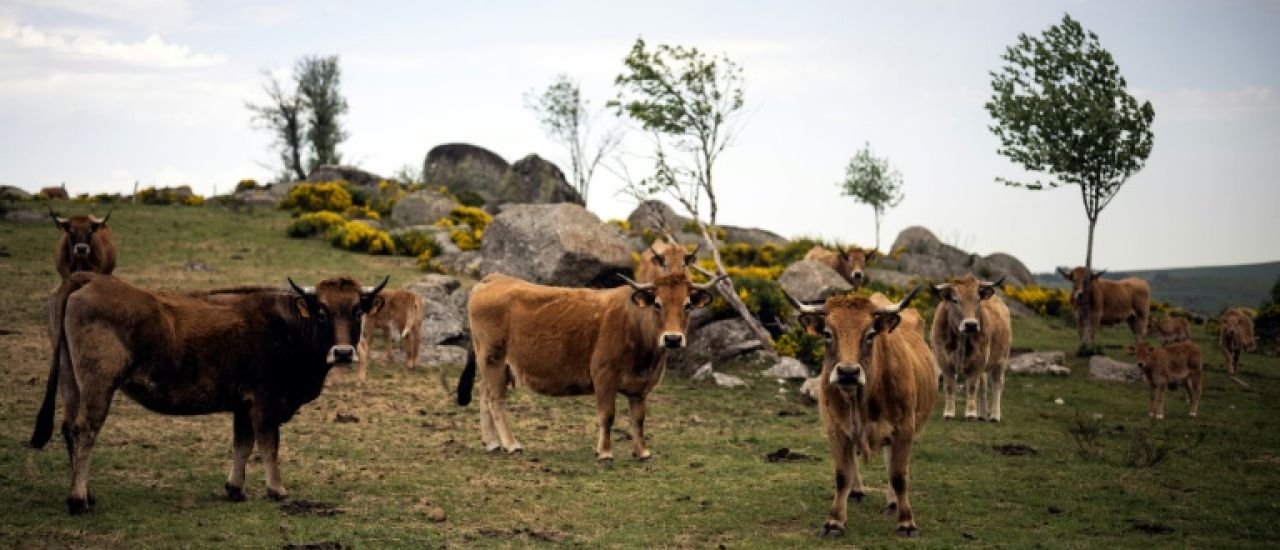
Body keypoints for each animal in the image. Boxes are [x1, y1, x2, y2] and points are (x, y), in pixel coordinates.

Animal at [29, 273, 387, 514]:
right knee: (85, 431)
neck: (288, 328)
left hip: (71, 380)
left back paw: (87, 494)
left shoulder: (243, 405)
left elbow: (243, 445)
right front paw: (277, 489)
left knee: (69, 429)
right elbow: (269, 446)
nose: (343, 352)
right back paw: (78, 501)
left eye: (358, 310)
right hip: (98, 384)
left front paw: (235, 489)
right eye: (322, 311)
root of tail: (87, 278)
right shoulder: (266, 402)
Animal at [456, 271, 722, 461]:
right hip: (493, 359)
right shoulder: (604, 376)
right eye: (657, 303)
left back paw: (491, 442)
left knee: (484, 393)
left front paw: (642, 452)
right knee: (496, 400)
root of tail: (494, 279)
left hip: (493, 366)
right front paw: (604, 452)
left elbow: (638, 419)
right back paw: (511, 444)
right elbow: (608, 415)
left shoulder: (640, 386)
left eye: (687, 305)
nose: (673, 338)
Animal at [790, 288, 937, 538]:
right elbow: (842, 475)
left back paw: (892, 502)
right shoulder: (836, 429)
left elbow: (899, 476)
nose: (848, 372)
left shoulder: (904, 430)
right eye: (827, 333)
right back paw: (856, 491)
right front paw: (834, 522)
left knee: (889, 463)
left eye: (870, 334)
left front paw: (906, 523)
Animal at [930, 275, 1012, 422]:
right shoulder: (945, 362)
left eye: (977, 299)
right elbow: (950, 387)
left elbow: (972, 387)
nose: (971, 325)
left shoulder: (978, 361)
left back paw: (994, 416)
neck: (962, 339)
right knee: (983, 386)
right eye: (955, 300)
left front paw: (970, 414)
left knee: (997, 385)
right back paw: (982, 415)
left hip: (1002, 359)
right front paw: (949, 413)